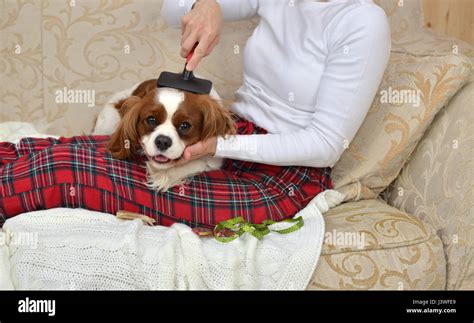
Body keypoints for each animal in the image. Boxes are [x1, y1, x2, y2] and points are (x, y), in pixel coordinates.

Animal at [95, 80, 236, 192]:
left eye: (185, 125)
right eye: (151, 120)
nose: (163, 141)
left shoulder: (214, 159)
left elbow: (197, 163)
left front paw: (163, 175)